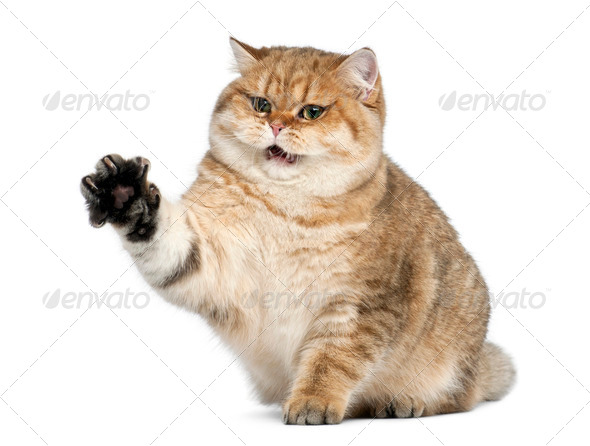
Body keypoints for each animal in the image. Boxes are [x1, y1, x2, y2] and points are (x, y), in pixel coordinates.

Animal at [81, 38, 516, 426]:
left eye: (311, 112)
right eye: (261, 104)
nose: (275, 125)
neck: (284, 207)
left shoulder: (358, 305)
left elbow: (332, 360)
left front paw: (313, 401)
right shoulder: (211, 261)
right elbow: (163, 240)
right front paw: (125, 193)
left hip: (454, 362)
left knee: (458, 398)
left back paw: (404, 401)